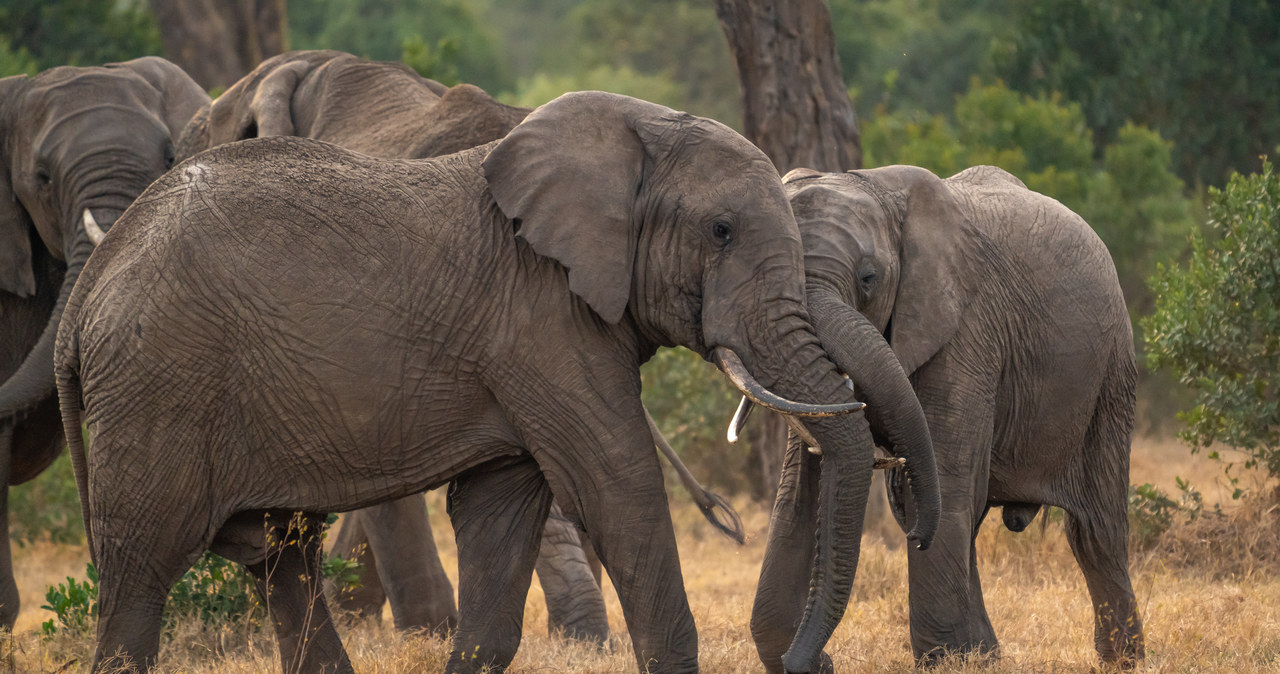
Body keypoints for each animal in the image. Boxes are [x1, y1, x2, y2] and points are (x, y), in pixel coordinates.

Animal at [747, 164, 1141, 670]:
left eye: (869, 278)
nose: (811, 662)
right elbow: (799, 492)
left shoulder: (966, 327)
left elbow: (944, 485)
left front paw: (947, 661)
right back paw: (987, 655)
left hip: (1111, 372)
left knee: (1094, 531)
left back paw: (1123, 661)